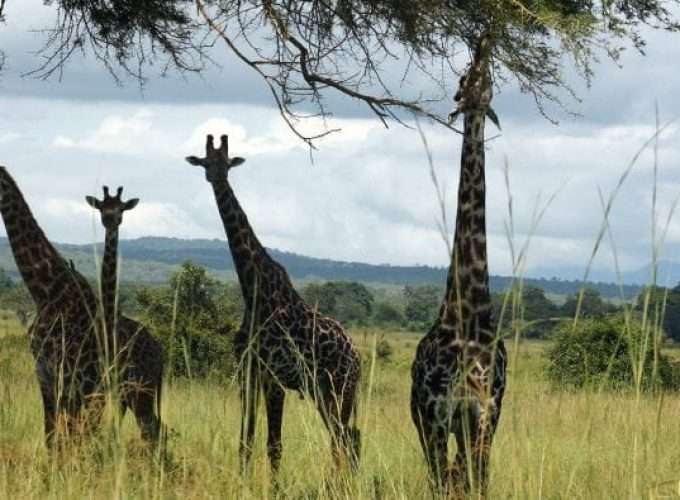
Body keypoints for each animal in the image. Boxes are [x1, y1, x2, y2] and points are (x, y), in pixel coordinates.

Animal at [85, 187, 164, 442]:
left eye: (121, 208)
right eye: (102, 207)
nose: (111, 219)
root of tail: (161, 355)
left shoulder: (115, 384)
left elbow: (110, 426)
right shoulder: (101, 384)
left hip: (142, 388)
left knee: (151, 426)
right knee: (154, 426)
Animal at [183, 135, 364, 474]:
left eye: (226, 163)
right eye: (205, 161)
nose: (216, 177)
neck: (253, 291)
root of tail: (358, 356)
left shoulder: (275, 375)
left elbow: (274, 445)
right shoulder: (248, 371)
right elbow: (246, 438)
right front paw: (242, 479)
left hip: (341, 387)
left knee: (346, 439)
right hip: (322, 391)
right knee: (344, 437)